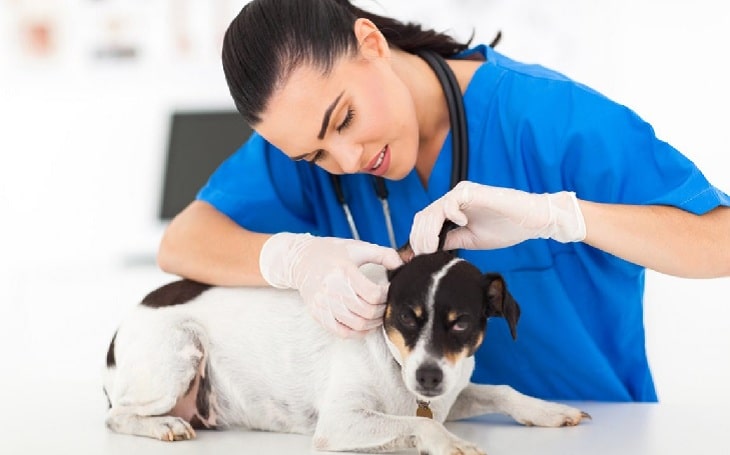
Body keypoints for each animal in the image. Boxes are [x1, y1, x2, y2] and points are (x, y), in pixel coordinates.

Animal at [105, 251, 588, 454]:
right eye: (407, 317)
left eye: (461, 323)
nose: (427, 378)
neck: (395, 365)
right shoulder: (340, 423)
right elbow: (422, 425)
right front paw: (448, 442)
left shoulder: (451, 391)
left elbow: (501, 390)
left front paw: (547, 410)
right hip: (179, 353)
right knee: (117, 416)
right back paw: (163, 425)